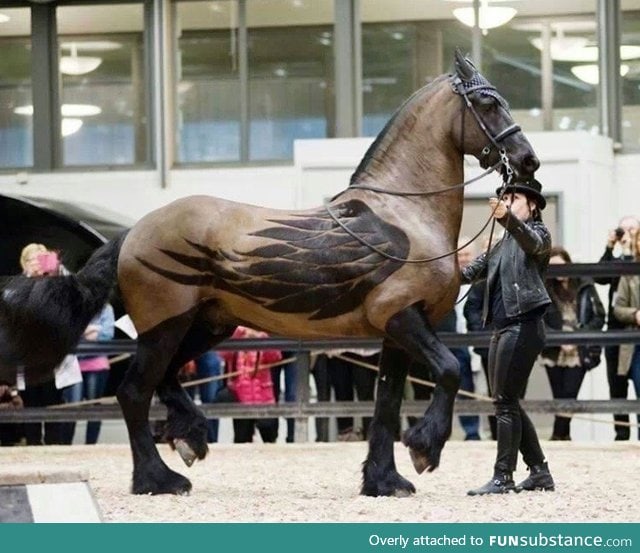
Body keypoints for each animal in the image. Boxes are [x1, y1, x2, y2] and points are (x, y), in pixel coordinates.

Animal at [0, 51, 540, 498]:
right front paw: (425, 449)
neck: (405, 215)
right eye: (489, 102)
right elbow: (448, 370)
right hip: (165, 327)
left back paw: (189, 438)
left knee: (165, 382)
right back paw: (159, 479)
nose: (528, 160)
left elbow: (385, 405)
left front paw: (384, 482)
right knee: (134, 392)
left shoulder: (395, 332)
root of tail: (133, 232)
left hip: (207, 325)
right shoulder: (403, 317)